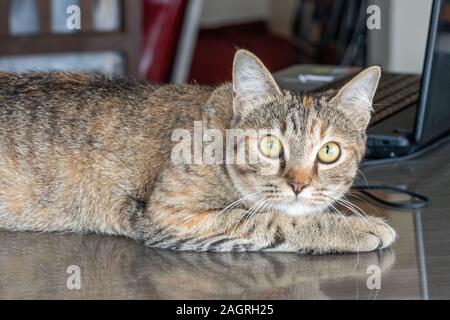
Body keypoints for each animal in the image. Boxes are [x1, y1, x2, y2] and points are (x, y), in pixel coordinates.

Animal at [0, 50, 394, 254]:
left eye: (328, 152)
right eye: (270, 145)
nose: (298, 185)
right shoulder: (170, 213)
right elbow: (273, 220)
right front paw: (357, 229)